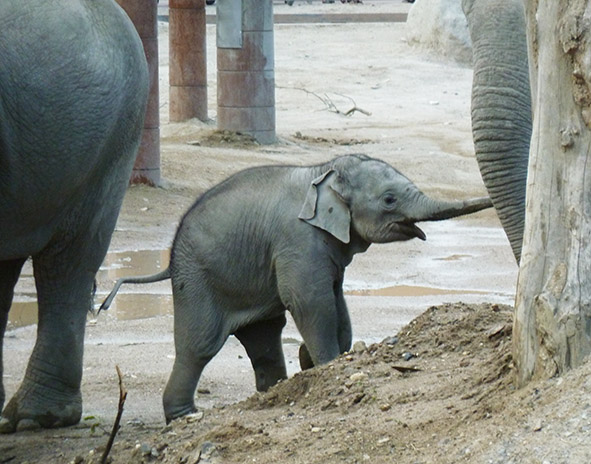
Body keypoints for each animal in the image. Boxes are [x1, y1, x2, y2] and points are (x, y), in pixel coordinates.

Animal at [100, 154, 490, 422]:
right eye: (389, 199)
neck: (326, 169)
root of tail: (169, 257)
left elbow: (336, 300)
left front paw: (312, 360)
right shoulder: (298, 240)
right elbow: (310, 300)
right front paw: (326, 364)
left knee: (264, 341)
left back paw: (271, 393)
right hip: (196, 278)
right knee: (199, 345)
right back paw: (184, 416)